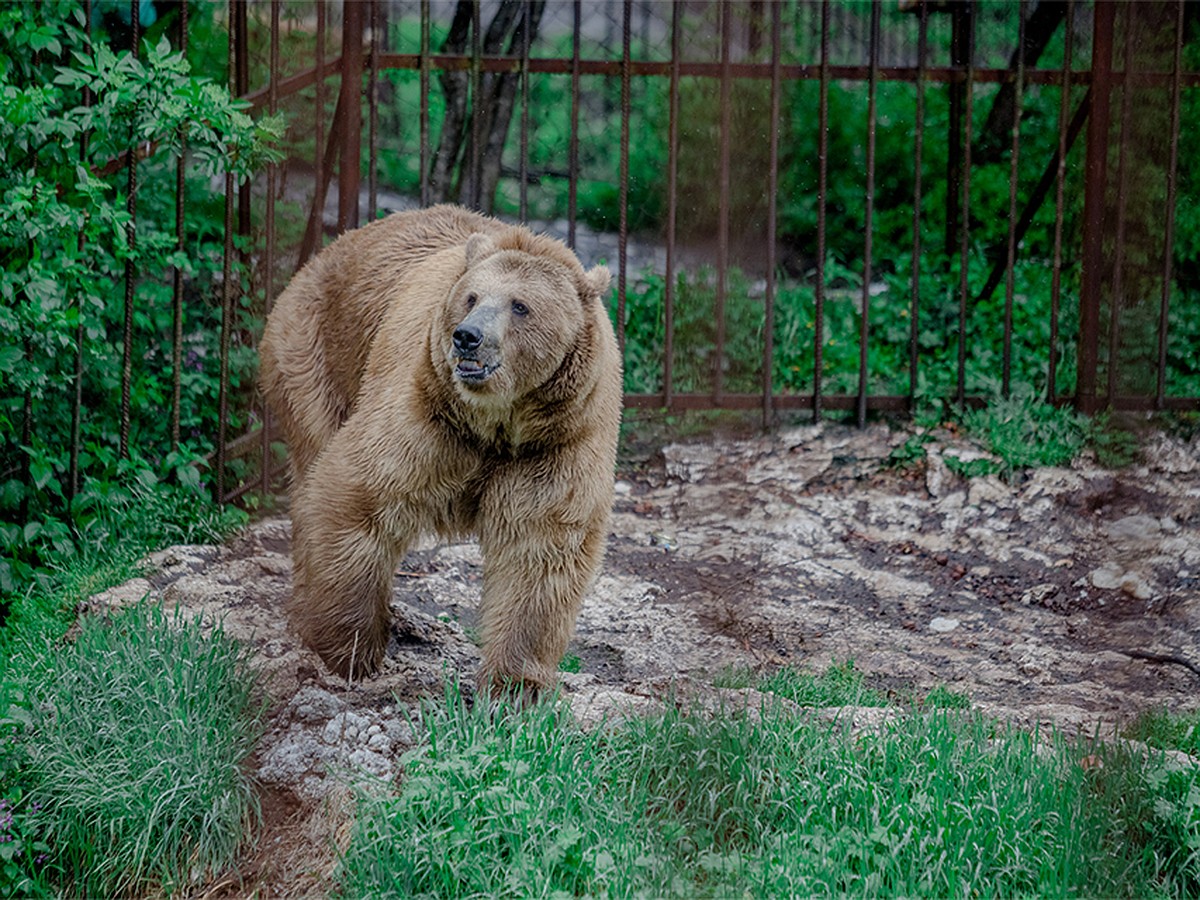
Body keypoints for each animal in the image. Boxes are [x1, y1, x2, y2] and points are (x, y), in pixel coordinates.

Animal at [259, 207, 624, 696]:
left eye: (520, 305)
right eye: (471, 297)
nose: (467, 337)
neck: (497, 422)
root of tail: (322, 256)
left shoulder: (557, 441)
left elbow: (541, 548)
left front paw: (515, 684)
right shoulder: (429, 412)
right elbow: (357, 496)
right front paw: (350, 651)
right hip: (315, 358)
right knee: (310, 474)